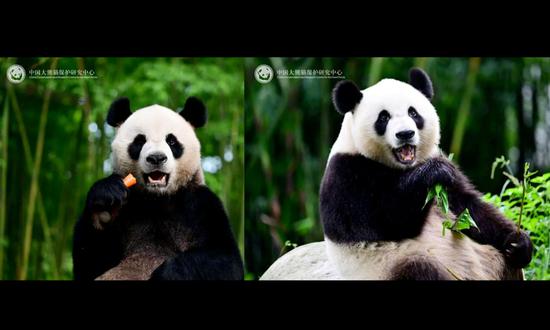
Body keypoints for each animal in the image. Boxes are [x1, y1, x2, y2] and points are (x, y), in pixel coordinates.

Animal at [72, 96, 245, 280]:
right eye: (139, 141)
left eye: (171, 141)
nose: (156, 158)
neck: (157, 198)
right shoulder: (127, 208)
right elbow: (90, 264)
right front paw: (105, 206)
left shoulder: (200, 205)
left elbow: (227, 261)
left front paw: (167, 272)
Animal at [264, 68, 536, 280]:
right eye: (383, 117)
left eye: (413, 113)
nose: (405, 134)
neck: (400, 167)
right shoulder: (346, 174)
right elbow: (386, 223)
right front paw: (433, 173)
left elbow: (468, 207)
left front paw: (519, 242)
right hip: (391, 265)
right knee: (420, 271)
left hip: (491, 261)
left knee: (507, 264)